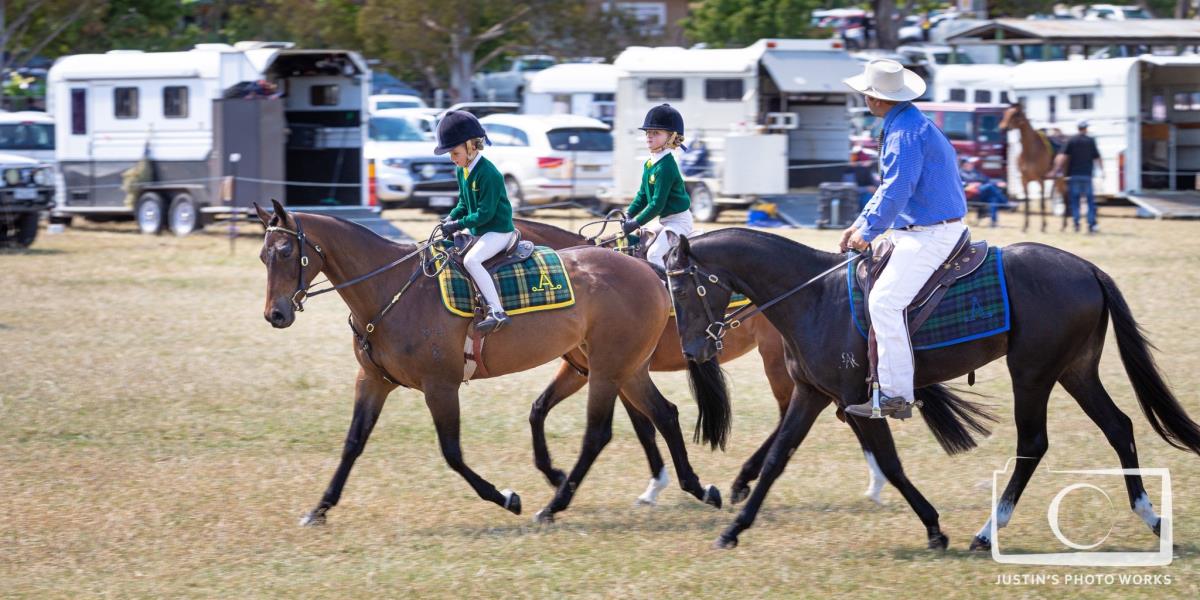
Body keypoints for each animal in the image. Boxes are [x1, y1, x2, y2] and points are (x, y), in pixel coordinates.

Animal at [253, 200, 723, 526]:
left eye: (285, 252)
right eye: (262, 256)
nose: (276, 314)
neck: (391, 290)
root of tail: (650, 273)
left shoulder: (440, 387)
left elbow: (452, 453)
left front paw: (507, 498)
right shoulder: (372, 381)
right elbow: (352, 444)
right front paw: (319, 508)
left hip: (608, 370)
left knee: (599, 433)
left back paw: (554, 505)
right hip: (625, 367)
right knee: (665, 413)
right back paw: (699, 488)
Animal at [515, 217, 995, 507]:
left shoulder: (610, 369)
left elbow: (645, 422)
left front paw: (657, 483)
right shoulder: (592, 369)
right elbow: (547, 409)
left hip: (775, 363)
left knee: (795, 415)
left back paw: (750, 479)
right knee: (833, 414)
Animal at [664, 227, 1200, 550]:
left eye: (685, 287)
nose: (692, 350)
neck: (815, 297)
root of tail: (1087, 268)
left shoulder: (855, 403)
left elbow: (890, 464)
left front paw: (934, 527)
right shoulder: (813, 394)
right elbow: (778, 457)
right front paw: (734, 527)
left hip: (1031, 373)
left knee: (1033, 444)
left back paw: (988, 532)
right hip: (1076, 370)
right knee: (1119, 426)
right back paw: (1150, 517)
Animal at [999, 103, 1066, 233]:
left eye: (1015, 114)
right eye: (1005, 113)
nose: (1002, 128)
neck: (1030, 150)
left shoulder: (1041, 181)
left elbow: (1042, 204)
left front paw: (1043, 226)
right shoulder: (1024, 181)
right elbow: (1026, 203)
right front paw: (1025, 226)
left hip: (1061, 178)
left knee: (1065, 197)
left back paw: (1064, 225)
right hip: (1058, 179)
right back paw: (1063, 225)